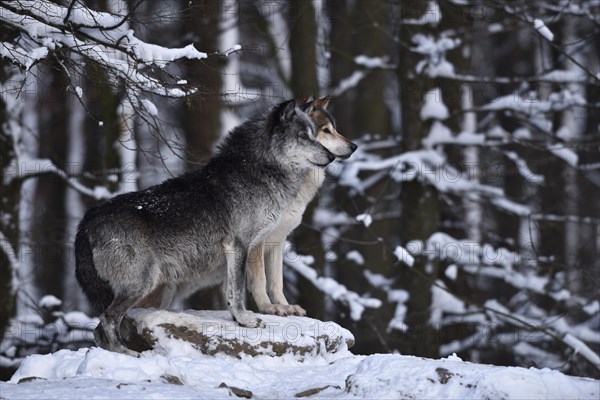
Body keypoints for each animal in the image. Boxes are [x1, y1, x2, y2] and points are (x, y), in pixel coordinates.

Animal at [75, 99, 336, 354]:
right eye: (302, 136)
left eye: (314, 135)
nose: (332, 156)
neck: (258, 171)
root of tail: (88, 218)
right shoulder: (239, 246)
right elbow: (238, 290)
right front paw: (246, 320)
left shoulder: (246, 249)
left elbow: (233, 291)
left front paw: (238, 319)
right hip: (142, 284)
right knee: (107, 319)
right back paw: (125, 352)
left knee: (99, 329)